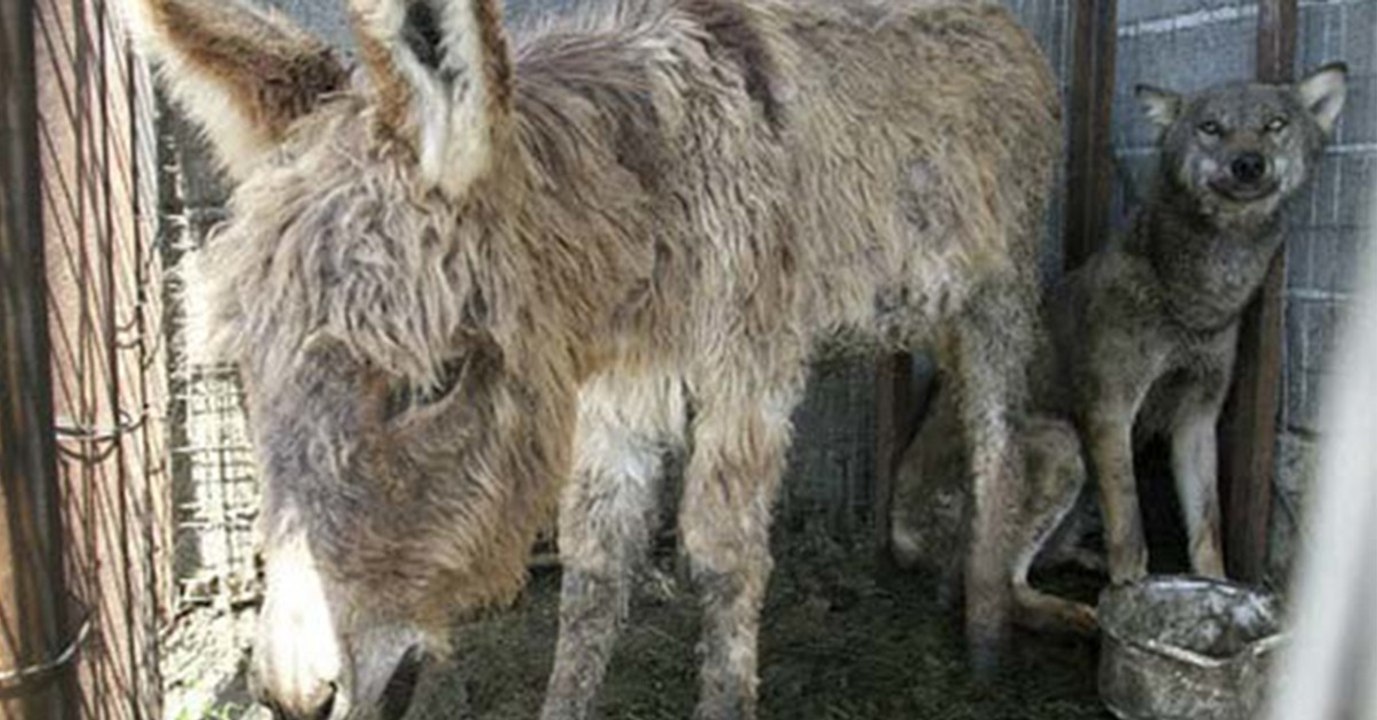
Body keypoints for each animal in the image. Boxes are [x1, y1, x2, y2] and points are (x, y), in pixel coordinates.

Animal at [893, 63, 1348, 632]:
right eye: (1211, 128)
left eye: (1274, 125)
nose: (1248, 164)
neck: (1192, 302)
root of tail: (898, 533)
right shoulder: (1109, 414)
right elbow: (1130, 531)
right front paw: (1129, 599)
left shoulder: (1197, 421)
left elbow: (1207, 530)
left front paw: (1218, 590)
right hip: (1061, 444)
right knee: (1005, 589)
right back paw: (1083, 618)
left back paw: (1084, 563)